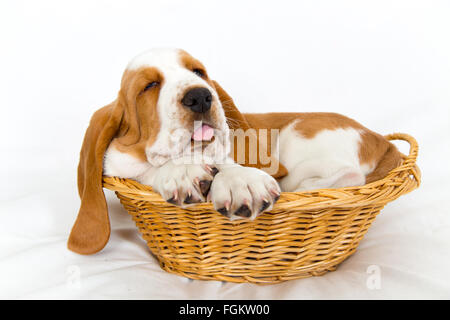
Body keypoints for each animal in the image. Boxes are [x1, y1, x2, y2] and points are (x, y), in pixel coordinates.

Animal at [69, 48, 400, 255]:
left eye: (198, 71)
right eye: (149, 85)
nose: (201, 96)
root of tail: (382, 140)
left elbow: (228, 165)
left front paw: (241, 181)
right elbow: (150, 167)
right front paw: (181, 171)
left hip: (297, 137)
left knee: (347, 175)